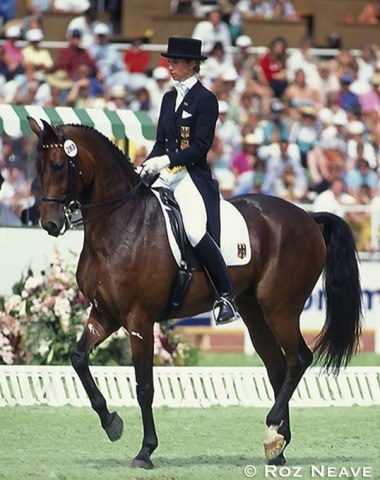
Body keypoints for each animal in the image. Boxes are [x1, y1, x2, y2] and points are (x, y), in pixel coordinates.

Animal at [28, 118, 360, 470]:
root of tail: (307, 217)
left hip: (280, 309)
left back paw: (273, 430)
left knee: (299, 359)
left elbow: (144, 386)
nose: (49, 224)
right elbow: (78, 358)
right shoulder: (104, 313)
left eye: (58, 165)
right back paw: (277, 445)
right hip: (255, 313)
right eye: (37, 167)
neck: (122, 223)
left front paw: (145, 451)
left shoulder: (139, 320)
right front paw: (111, 422)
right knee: (278, 367)